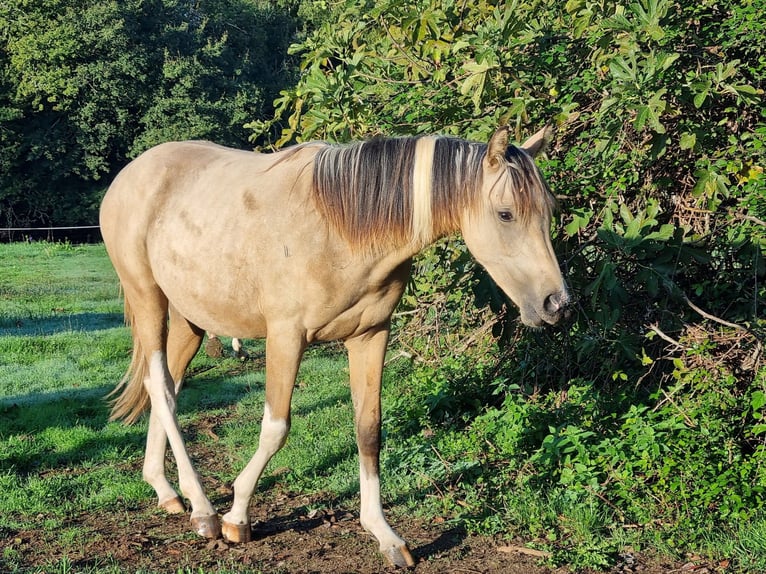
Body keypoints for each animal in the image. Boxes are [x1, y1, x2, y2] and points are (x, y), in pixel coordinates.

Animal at [99, 124, 569, 568]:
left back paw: (165, 490)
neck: (341, 227)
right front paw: (237, 516)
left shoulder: (371, 335)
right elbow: (275, 428)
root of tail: (131, 173)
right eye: (505, 213)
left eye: (549, 210)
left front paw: (384, 534)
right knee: (162, 388)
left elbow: (369, 430)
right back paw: (203, 510)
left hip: (191, 318)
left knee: (166, 385)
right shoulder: (286, 337)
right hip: (147, 297)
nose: (557, 304)